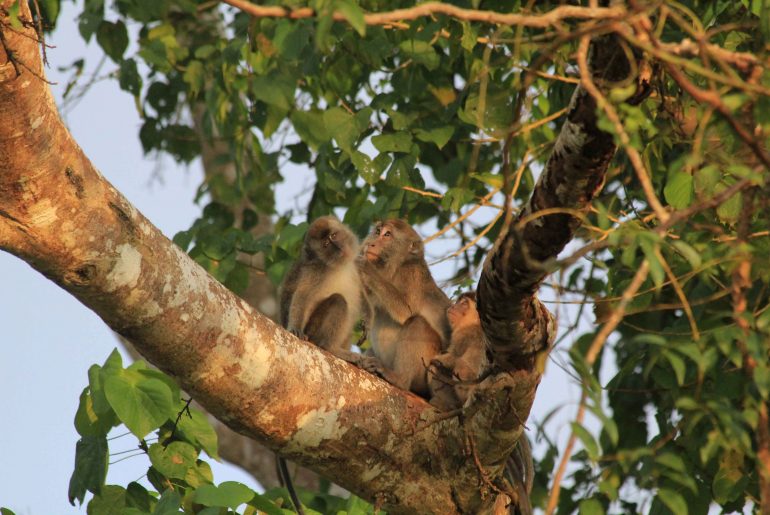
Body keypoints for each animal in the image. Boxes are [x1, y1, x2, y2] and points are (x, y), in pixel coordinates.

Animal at [279, 215, 363, 363]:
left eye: (333, 235)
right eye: (326, 245)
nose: (338, 247)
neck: (337, 266)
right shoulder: (316, 271)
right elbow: (303, 295)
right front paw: (295, 328)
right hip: (313, 331)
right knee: (338, 301)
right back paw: (331, 348)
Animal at [356, 219, 451, 397]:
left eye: (387, 234)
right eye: (377, 231)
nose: (371, 244)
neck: (396, 267)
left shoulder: (411, 273)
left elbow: (407, 312)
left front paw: (365, 267)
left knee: (418, 322)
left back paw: (399, 379)